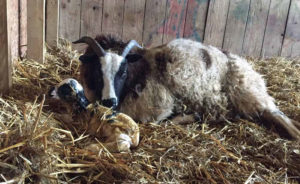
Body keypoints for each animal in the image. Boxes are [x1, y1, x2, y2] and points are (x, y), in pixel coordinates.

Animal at [72, 34, 300, 139]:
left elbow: (158, 120)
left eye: (124, 72)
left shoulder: (157, 107)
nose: (109, 101)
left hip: (248, 93)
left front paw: (186, 117)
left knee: (277, 114)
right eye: (98, 70)